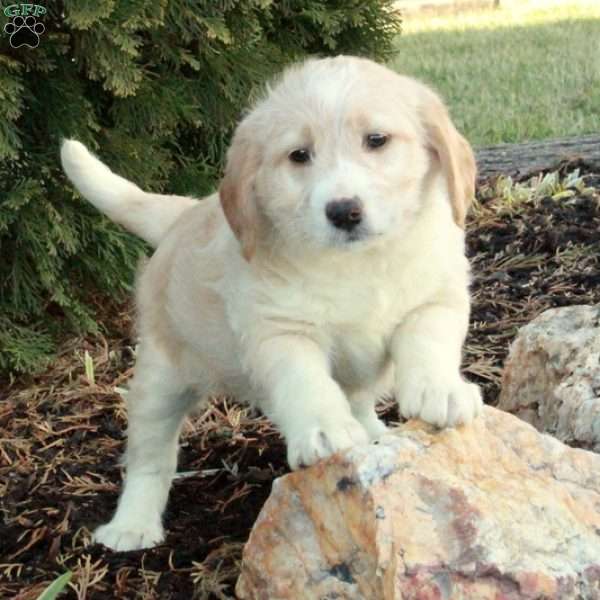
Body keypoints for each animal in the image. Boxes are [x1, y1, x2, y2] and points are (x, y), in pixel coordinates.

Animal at [61, 54, 482, 552]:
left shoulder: (436, 297)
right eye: (299, 155)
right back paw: (132, 524)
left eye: (376, 140)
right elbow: (305, 382)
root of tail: (185, 212)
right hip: (162, 376)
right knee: (150, 456)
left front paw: (441, 390)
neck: (356, 264)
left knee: (359, 399)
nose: (344, 211)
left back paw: (375, 433)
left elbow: (428, 342)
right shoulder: (280, 331)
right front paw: (323, 428)